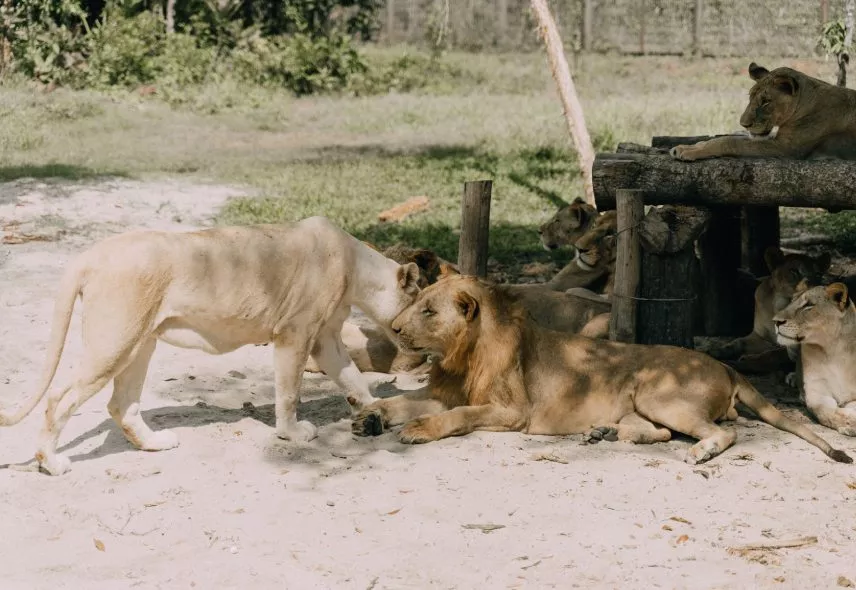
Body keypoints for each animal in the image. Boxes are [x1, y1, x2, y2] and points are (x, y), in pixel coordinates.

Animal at [0, 217, 421, 476]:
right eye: (421, 301)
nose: (419, 348)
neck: (356, 270)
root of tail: (88, 255)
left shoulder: (325, 339)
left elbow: (353, 379)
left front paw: (375, 409)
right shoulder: (295, 333)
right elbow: (288, 392)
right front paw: (293, 433)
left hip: (140, 343)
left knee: (122, 405)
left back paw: (155, 444)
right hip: (114, 343)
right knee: (60, 399)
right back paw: (52, 463)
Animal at [671, 61, 856, 162]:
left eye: (766, 102)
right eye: (750, 97)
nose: (743, 124)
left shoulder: (786, 149)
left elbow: (729, 141)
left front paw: (689, 152)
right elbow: (725, 138)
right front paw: (686, 147)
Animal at [773, 282, 856, 436]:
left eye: (808, 305)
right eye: (791, 302)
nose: (776, 321)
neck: (833, 349)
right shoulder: (816, 392)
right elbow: (827, 412)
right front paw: (850, 423)